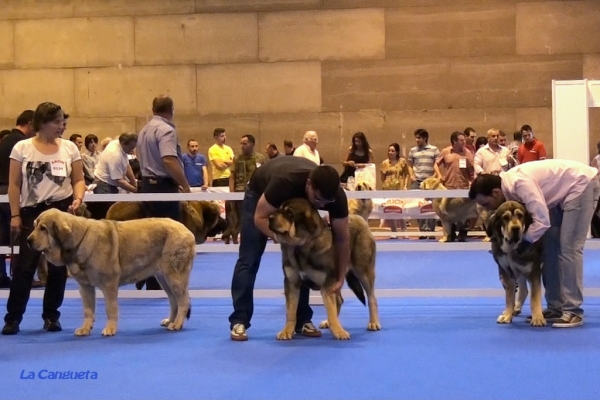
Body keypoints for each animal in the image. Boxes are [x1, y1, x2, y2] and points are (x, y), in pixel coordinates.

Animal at [28, 208, 195, 336]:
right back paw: (171, 320)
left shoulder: (109, 284)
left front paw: (110, 329)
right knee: (173, 300)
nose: (28, 240)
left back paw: (177, 324)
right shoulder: (85, 286)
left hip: (175, 276)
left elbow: (111, 308)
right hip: (164, 277)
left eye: (43, 228)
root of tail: (187, 231)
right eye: (34, 226)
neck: (79, 240)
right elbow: (88, 310)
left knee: (183, 301)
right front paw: (85, 329)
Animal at [270, 198, 382, 340]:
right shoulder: (292, 283)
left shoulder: (327, 284)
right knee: (339, 300)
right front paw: (286, 331)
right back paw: (328, 322)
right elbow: (291, 311)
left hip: (364, 271)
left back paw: (373, 322)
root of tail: (359, 217)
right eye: (279, 209)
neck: (302, 245)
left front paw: (339, 331)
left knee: (371, 297)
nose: (269, 217)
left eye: (290, 213)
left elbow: (331, 309)